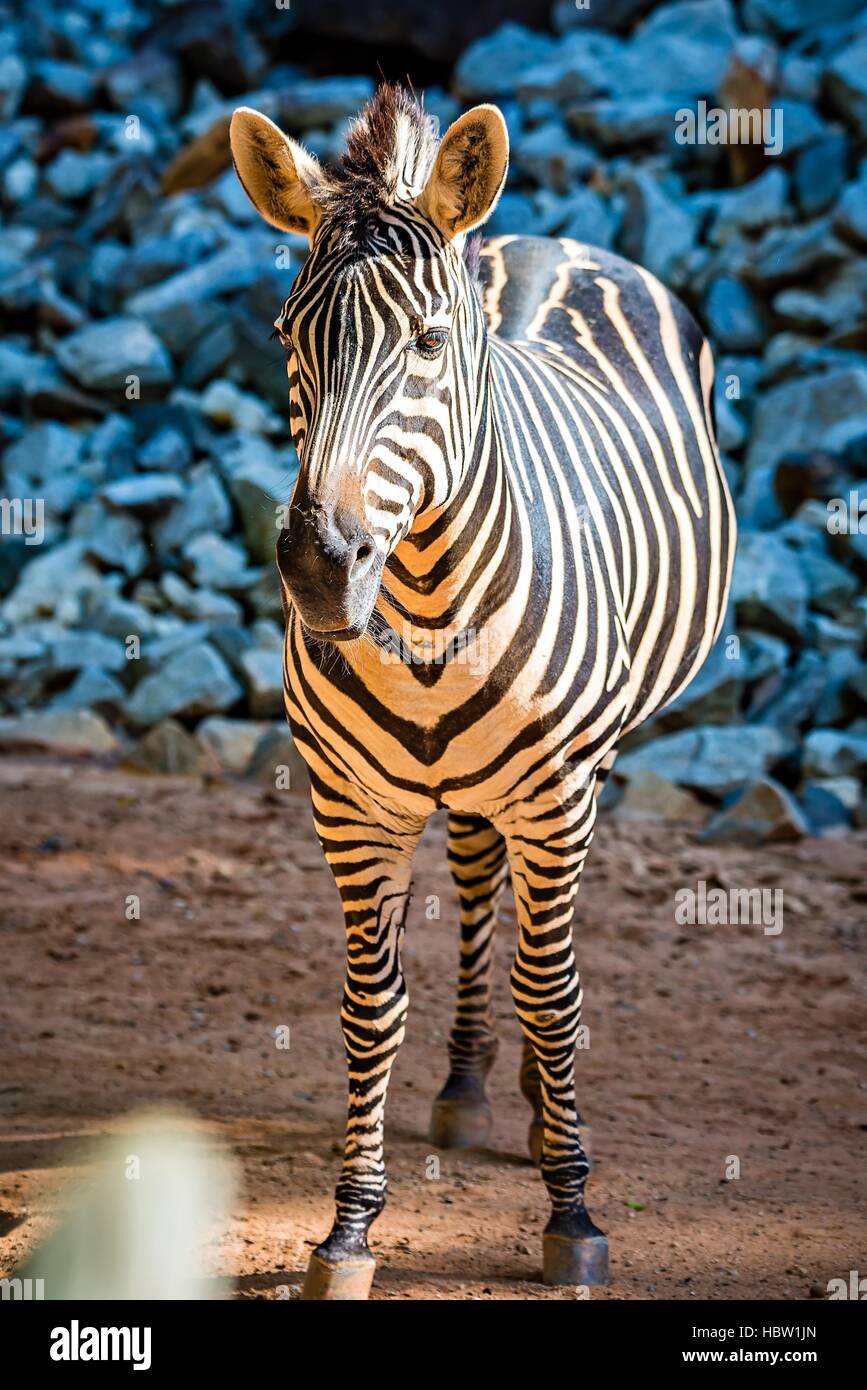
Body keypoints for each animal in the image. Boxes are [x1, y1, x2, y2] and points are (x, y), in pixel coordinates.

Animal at [229, 84, 736, 1298]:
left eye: (425, 344)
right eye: (287, 340)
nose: (318, 568)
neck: (423, 609)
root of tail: (558, 243)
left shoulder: (557, 795)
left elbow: (554, 994)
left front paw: (573, 1208)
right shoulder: (352, 804)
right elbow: (372, 1006)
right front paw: (349, 1228)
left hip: (577, 772)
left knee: (540, 945)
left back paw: (542, 1111)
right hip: (461, 787)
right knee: (472, 883)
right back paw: (467, 1087)